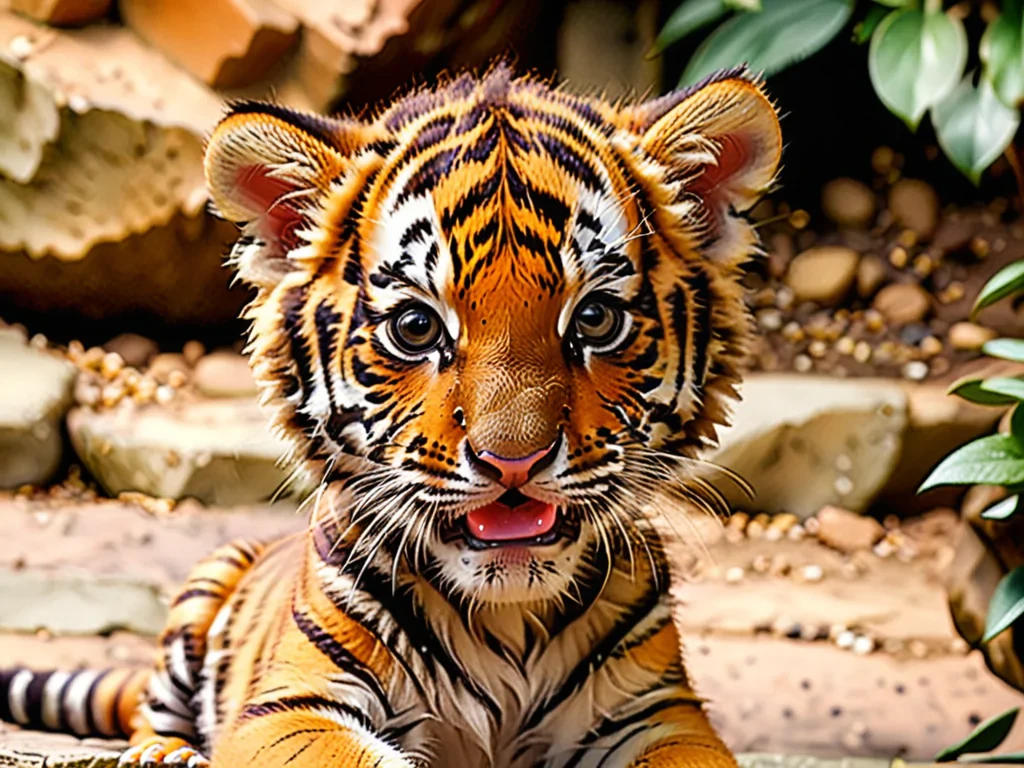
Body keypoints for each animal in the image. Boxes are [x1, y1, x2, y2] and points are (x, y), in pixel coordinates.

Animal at [0, 63, 781, 767]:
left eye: (594, 319)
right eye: (415, 327)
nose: (515, 462)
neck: (508, 616)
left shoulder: (660, 714)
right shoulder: (295, 706)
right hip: (205, 585)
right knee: (148, 714)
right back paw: (162, 754)